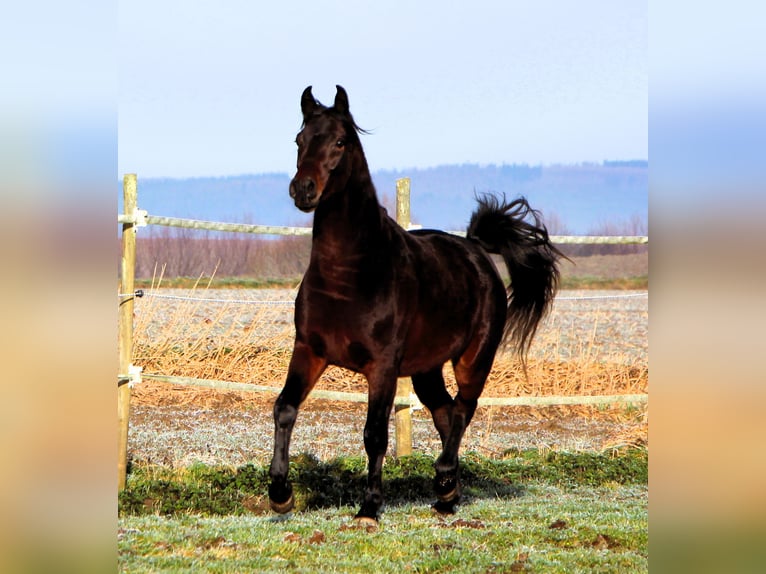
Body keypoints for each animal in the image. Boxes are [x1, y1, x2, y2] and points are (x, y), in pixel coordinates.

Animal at [270, 84, 564, 528]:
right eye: (299, 140)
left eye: (339, 142)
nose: (303, 189)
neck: (350, 274)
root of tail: (476, 250)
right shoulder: (309, 351)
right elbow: (285, 408)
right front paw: (280, 495)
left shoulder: (382, 366)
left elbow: (375, 433)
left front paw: (369, 508)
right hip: (427, 369)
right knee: (445, 413)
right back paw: (447, 494)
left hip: (474, 359)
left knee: (462, 411)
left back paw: (443, 482)